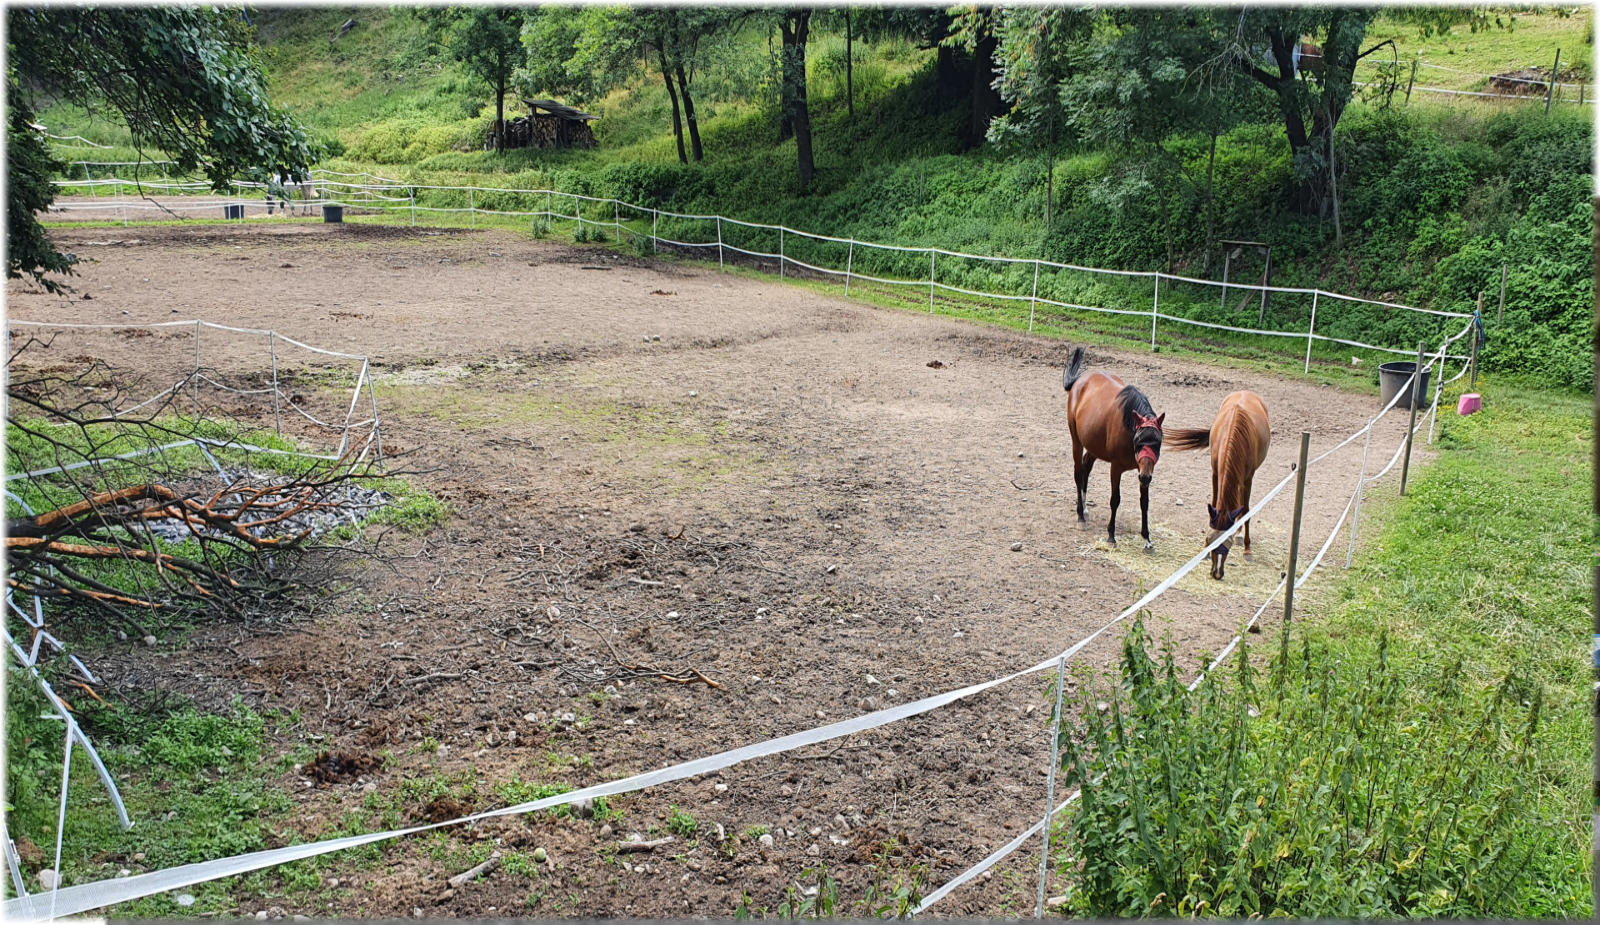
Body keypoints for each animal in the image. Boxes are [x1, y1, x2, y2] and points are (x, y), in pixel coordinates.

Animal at [1061, 346, 1166, 550]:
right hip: (1077, 441)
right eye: (1139, 441)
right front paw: (1111, 534)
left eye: (1157, 443)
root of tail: (1079, 380)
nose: (1145, 477)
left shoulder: (1144, 469)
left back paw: (1084, 506)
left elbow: (1144, 502)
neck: (1130, 427)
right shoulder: (1116, 468)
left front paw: (1147, 538)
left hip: (1094, 445)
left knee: (1086, 467)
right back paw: (1080, 515)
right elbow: (1115, 499)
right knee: (1078, 472)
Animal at [1165, 390, 1270, 580]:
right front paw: (1204, 551)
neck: (1232, 433)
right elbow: (1214, 503)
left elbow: (1246, 510)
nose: (1217, 573)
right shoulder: (1215, 473)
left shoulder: (1248, 478)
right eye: (1210, 540)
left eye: (1227, 543)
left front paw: (1247, 550)